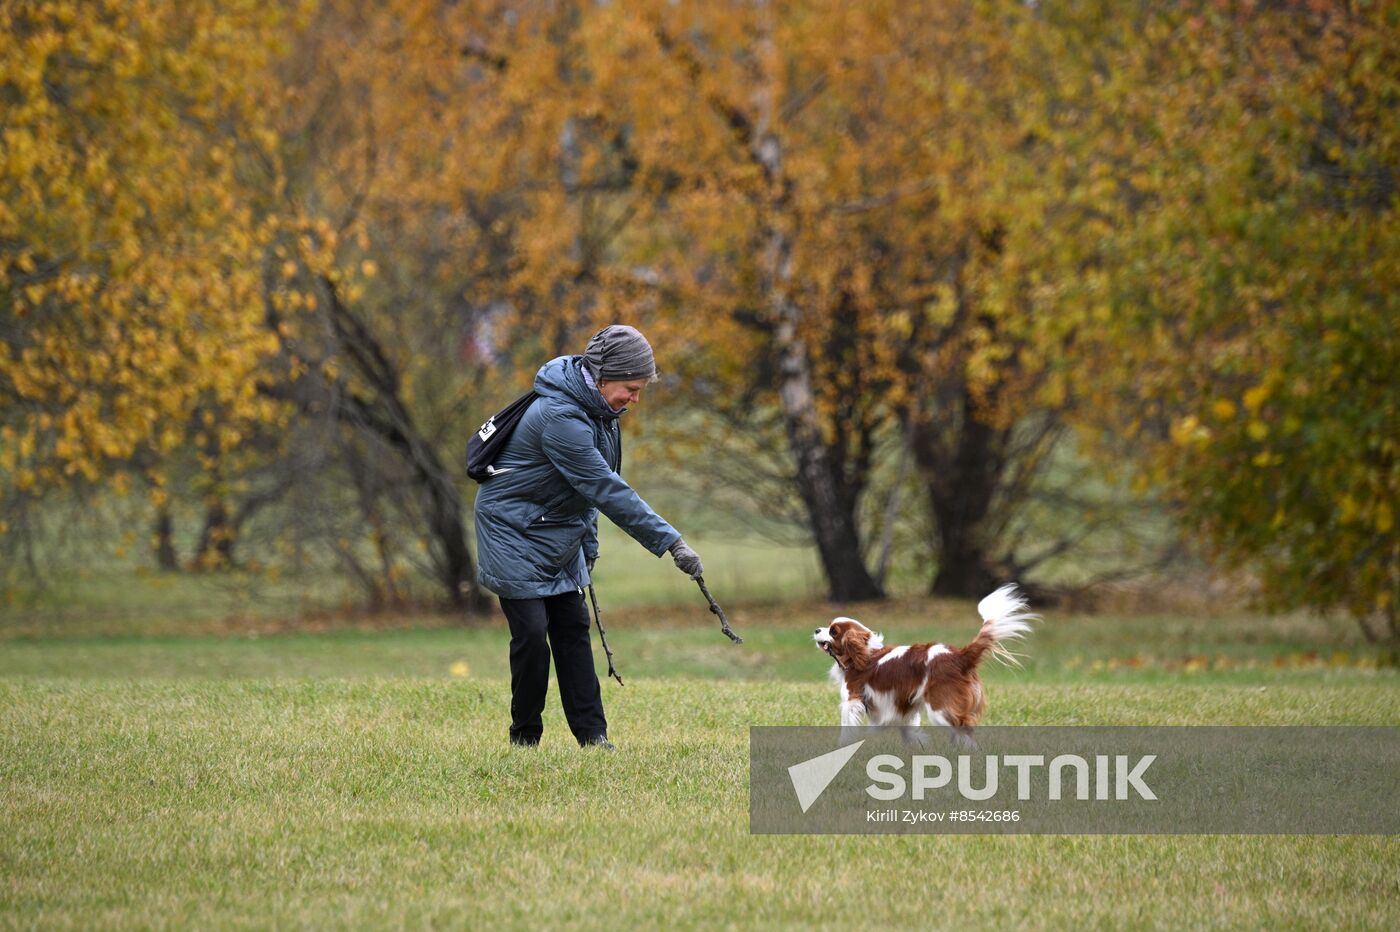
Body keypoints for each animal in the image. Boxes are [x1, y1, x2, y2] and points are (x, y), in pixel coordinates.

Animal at [817, 582, 1036, 738]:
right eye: (827, 626)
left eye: (833, 631)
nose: (817, 629)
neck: (865, 654)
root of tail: (960, 655)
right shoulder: (902, 706)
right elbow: (911, 733)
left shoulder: (852, 701)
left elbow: (847, 731)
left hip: (941, 709)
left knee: (965, 729)